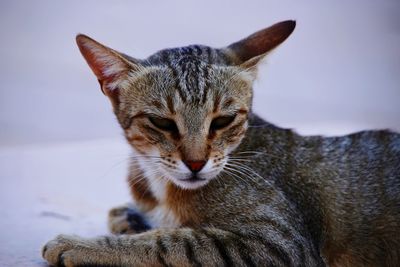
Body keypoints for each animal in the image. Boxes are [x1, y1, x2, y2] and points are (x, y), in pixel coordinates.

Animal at [41, 19, 400, 266]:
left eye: (223, 121)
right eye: (162, 123)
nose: (196, 163)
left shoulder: (278, 242)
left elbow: (171, 243)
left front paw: (83, 245)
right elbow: (135, 218)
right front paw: (133, 219)